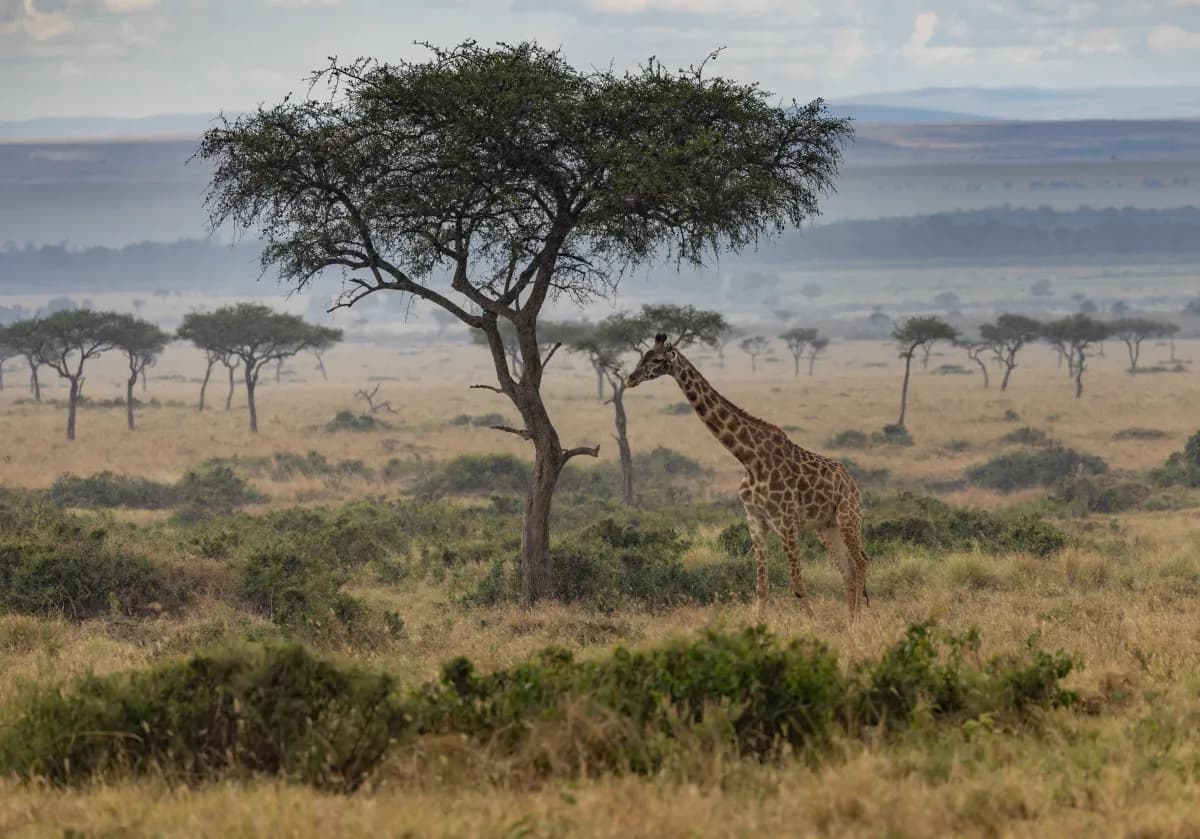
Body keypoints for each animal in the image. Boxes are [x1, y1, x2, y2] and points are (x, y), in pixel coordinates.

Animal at [627, 334, 869, 622]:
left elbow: (797, 582)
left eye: (656, 360)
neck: (748, 459)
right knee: (849, 570)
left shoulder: (786, 522)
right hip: (826, 527)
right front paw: (759, 624)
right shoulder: (755, 522)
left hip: (848, 517)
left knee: (861, 562)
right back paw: (850, 622)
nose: (630, 378)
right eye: (642, 355)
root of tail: (853, 483)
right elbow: (761, 586)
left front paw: (813, 623)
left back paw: (859, 621)